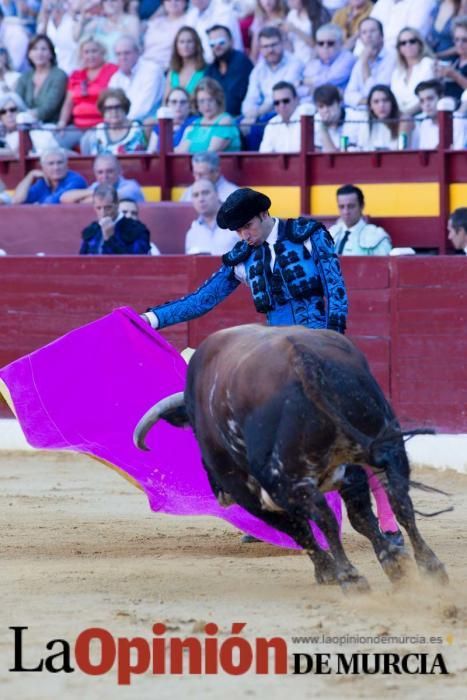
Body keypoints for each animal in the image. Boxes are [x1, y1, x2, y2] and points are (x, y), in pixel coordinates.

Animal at [133, 324, 448, 592]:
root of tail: (302, 359)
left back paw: (350, 577)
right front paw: (394, 563)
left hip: (285, 479)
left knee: (323, 517)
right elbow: (361, 518)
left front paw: (327, 571)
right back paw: (430, 567)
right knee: (400, 501)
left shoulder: (252, 494)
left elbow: (298, 529)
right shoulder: (351, 472)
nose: (220, 493)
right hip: (387, 446)